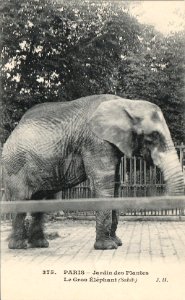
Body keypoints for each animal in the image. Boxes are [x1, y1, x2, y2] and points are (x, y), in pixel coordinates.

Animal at [1, 95, 185, 250]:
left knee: (40, 201)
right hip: (15, 166)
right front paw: (107, 247)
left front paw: (117, 243)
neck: (126, 103)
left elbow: (115, 185)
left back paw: (40, 245)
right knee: (21, 199)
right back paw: (19, 246)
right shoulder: (95, 141)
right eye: (153, 136)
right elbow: (104, 183)